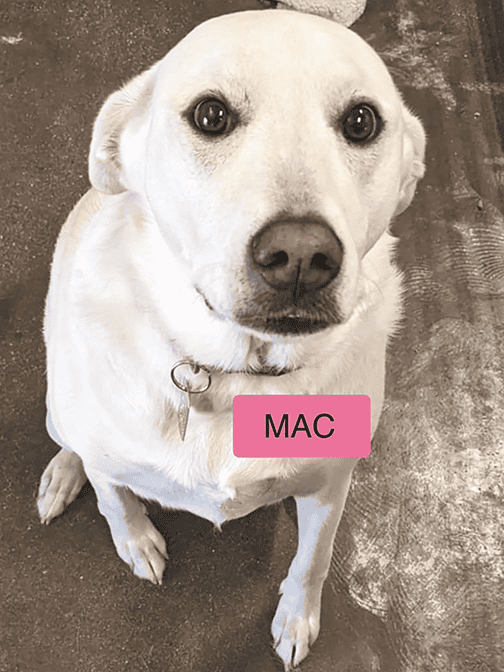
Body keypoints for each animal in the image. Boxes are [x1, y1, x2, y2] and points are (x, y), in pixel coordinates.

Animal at [37, 10, 426, 668]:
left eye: (362, 121)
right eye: (211, 115)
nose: (301, 256)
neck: (237, 372)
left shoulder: (332, 484)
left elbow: (314, 558)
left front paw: (296, 620)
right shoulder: (108, 458)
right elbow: (115, 500)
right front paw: (135, 540)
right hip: (58, 409)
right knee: (75, 448)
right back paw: (63, 475)